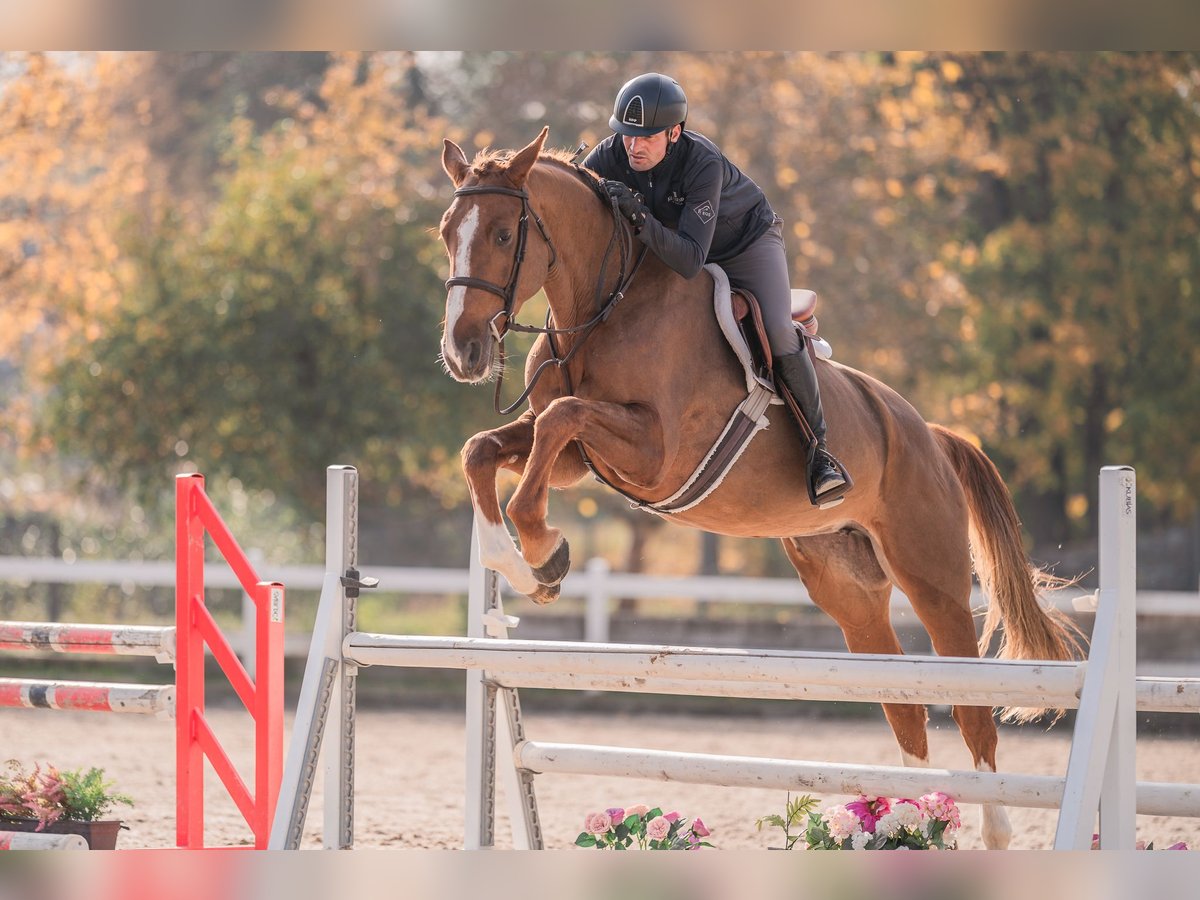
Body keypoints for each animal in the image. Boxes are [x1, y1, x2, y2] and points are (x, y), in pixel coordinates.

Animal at [436, 127, 1084, 849]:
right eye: (446, 233)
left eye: (501, 234)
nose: (462, 351)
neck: (605, 305)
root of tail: (932, 433)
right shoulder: (580, 459)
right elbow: (484, 448)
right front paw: (520, 562)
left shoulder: (654, 451)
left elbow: (558, 420)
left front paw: (544, 551)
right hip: (848, 590)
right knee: (906, 704)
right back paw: (907, 824)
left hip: (934, 580)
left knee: (971, 707)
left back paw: (987, 828)